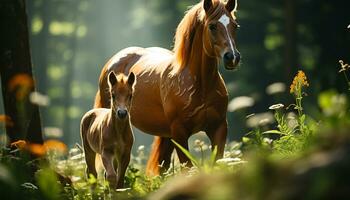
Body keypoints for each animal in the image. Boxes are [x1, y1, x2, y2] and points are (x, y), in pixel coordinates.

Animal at [93, 0, 241, 175]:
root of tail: (113, 62)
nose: (232, 57)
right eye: (212, 26)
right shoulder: (179, 133)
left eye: (235, 25)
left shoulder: (218, 129)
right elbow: (187, 168)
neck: (201, 85)